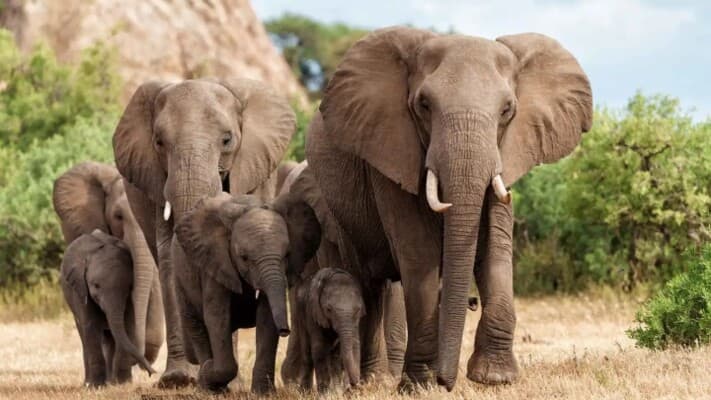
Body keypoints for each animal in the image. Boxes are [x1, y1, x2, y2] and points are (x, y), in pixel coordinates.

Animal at [60, 229, 157, 387]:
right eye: (96, 286)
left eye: (128, 287)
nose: (152, 372)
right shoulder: (80, 288)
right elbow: (91, 326)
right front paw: (95, 387)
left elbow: (127, 325)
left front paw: (123, 384)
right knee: (85, 336)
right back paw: (89, 383)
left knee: (110, 338)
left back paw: (111, 382)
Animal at [173, 191, 321, 392]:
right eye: (244, 257)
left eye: (287, 255)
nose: (285, 330)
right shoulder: (215, 262)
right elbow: (216, 317)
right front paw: (208, 372)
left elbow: (266, 317)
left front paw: (263, 393)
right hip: (180, 277)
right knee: (197, 326)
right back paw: (208, 382)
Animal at [305, 26, 592, 390]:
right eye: (424, 105)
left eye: (507, 110)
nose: (448, 380)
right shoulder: (389, 150)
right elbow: (419, 252)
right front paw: (419, 385)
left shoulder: (506, 154)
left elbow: (495, 248)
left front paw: (494, 378)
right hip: (336, 207)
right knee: (367, 284)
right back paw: (367, 383)